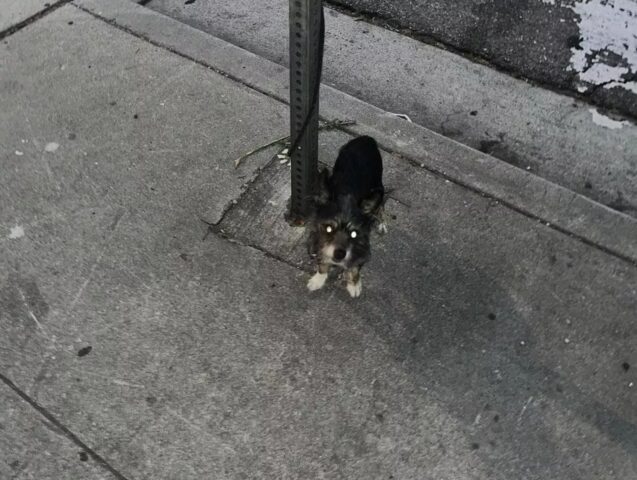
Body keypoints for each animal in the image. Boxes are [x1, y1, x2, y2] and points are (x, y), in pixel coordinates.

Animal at [306, 135, 386, 298]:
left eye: (354, 233)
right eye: (328, 229)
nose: (339, 255)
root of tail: (366, 138)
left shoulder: (362, 248)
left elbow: (354, 268)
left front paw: (353, 284)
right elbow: (323, 263)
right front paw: (319, 279)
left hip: (378, 186)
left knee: (380, 205)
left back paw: (381, 222)